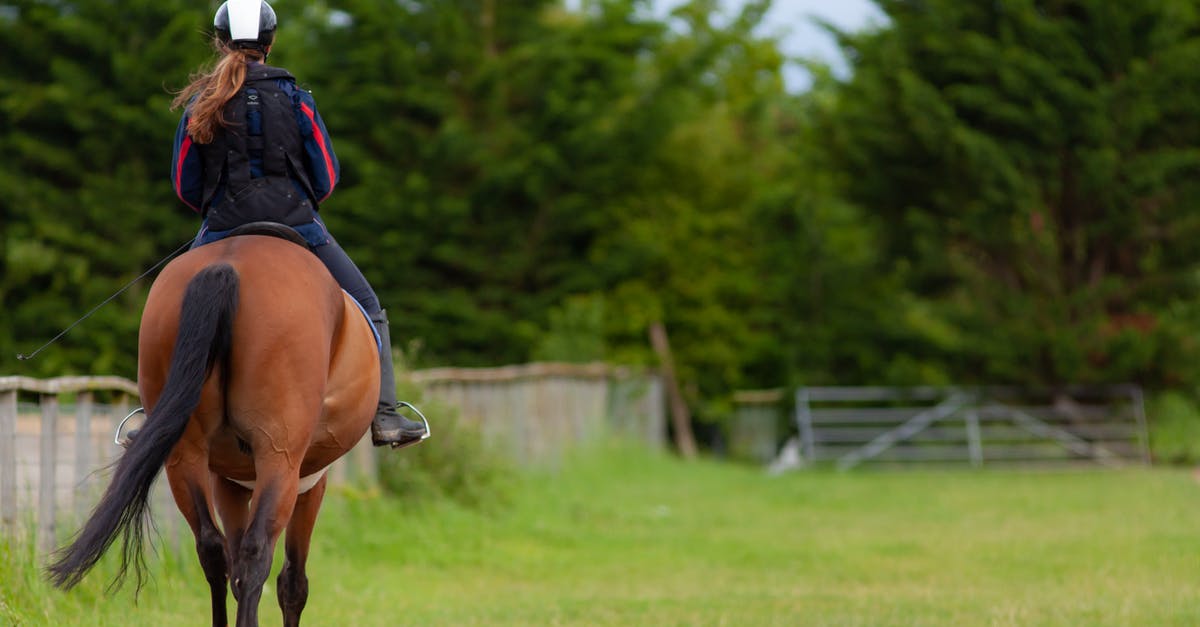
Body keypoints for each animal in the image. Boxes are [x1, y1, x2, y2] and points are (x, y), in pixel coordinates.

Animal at [46, 227, 381, 627]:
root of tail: (227, 263)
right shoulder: (310, 481)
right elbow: (292, 582)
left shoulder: (226, 481)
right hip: (279, 457)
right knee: (256, 553)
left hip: (185, 454)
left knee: (212, 548)